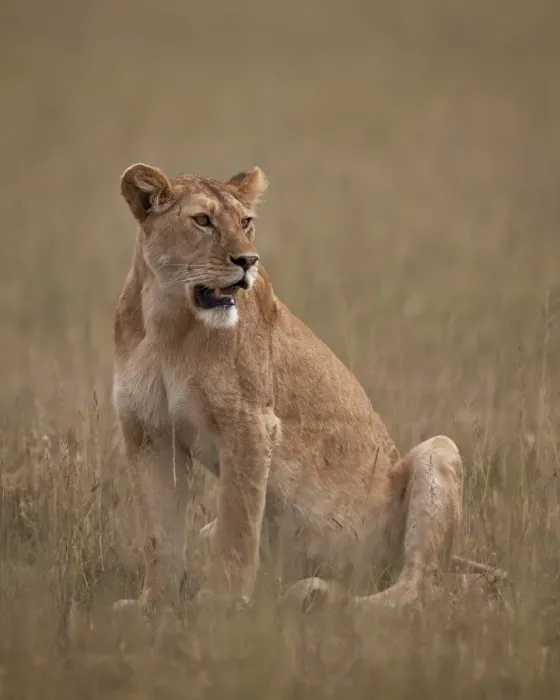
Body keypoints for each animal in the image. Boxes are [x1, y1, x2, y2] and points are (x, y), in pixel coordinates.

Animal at [112, 161, 469, 615]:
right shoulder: (149, 433)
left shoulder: (250, 423)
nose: (248, 261)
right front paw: (153, 604)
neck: (168, 320)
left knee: (417, 586)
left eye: (246, 222)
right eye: (203, 220)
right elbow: (160, 534)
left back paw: (329, 599)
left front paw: (221, 602)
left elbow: (238, 520)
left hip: (439, 451)